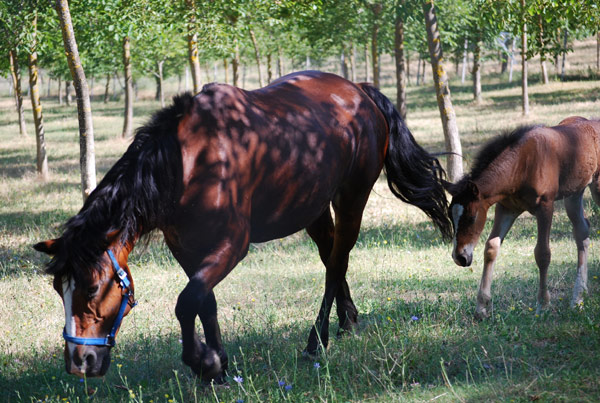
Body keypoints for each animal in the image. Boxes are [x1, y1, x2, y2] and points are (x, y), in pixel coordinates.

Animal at [35, 71, 452, 384]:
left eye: (92, 288)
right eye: (58, 289)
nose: (79, 362)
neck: (187, 162)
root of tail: (359, 91)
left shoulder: (233, 244)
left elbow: (187, 301)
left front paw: (204, 363)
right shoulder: (185, 247)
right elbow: (204, 301)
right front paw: (217, 364)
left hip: (352, 198)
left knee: (337, 263)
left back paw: (316, 342)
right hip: (313, 208)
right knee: (332, 257)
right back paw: (347, 320)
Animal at [448, 118, 600, 320]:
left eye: (472, 218)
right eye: (450, 216)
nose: (460, 257)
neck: (523, 164)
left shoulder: (545, 207)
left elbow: (542, 253)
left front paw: (543, 305)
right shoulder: (506, 208)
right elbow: (491, 248)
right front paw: (481, 308)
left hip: (597, 187)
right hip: (574, 194)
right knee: (582, 231)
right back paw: (578, 300)